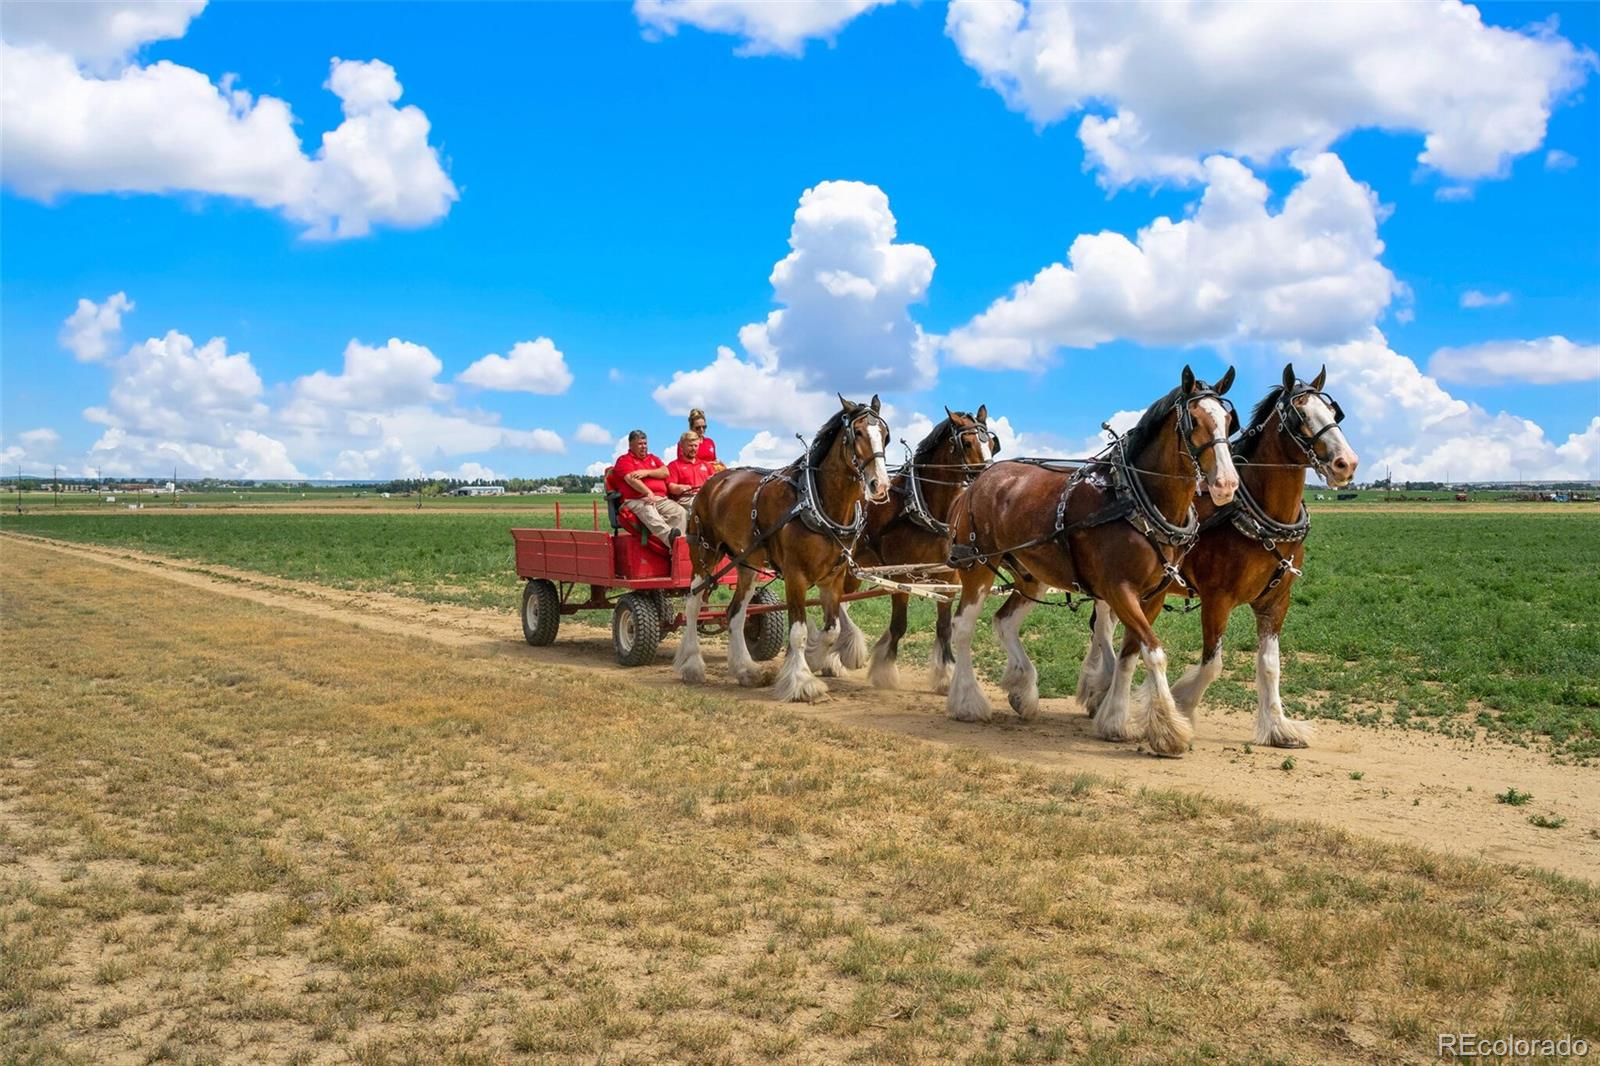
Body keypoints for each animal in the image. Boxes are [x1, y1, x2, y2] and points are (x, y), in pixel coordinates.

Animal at [675, 393, 896, 701]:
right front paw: (802, 681)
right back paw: (692, 665)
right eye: (859, 433)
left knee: (735, 613)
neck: (816, 502)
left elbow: (831, 630)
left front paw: (816, 659)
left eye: (885, 436)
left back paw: (746, 670)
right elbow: (798, 632)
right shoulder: (795, 576)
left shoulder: (833, 579)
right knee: (693, 604)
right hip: (704, 553)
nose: (880, 485)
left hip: (748, 563)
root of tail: (712, 483)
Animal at [851, 404, 998, 688]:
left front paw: (947, 673)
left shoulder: (948, 577)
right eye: (966, 442)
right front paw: (884, 669)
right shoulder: (899, 575)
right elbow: (898, 625)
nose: (988, 478)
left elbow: (944, 627)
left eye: (992, 444)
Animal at [940, 368, 1241, 755]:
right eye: (1195, 421)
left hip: (1031, 574)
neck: (1136, 501)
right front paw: (1169, 730)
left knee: (1004, 620)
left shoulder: (1153, 595)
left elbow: (1131, 653)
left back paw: (1023, 689)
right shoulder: (1119, 590)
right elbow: (1154, 652)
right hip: (978, 566)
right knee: (963, 626)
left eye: (1229, 422)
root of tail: (978, 482)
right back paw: (967, 702)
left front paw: (1115, 720)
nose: (1226, 483)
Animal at [1081, 364, 1356, 745]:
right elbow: (1213, 663)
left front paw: (1278, 726)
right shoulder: (1217, 598)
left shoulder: (1276, 601)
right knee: (1104, 626)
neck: (1257, 513)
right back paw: (1099, 689)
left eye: (1332, 412)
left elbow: (1270, 665)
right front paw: (1181, 704)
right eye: (1299, 414)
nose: (1347, 463)